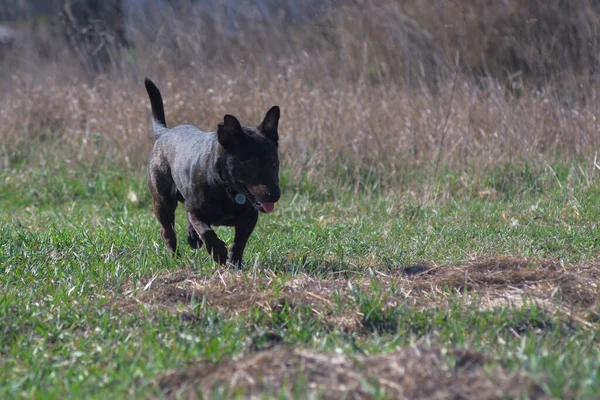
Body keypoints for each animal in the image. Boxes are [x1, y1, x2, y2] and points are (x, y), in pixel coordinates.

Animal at [144, 77, 282, 266]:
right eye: (250, 165)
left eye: (274, 164)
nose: (275, 195)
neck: (226, 187)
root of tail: (165, 132)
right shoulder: (196, 211)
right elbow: (207, 232)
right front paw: (219, 254)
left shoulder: (250, 217)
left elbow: (239, 241)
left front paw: (234, 262)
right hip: (162, 201)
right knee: (167, 232)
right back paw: (176, 258)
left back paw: (192, 238)